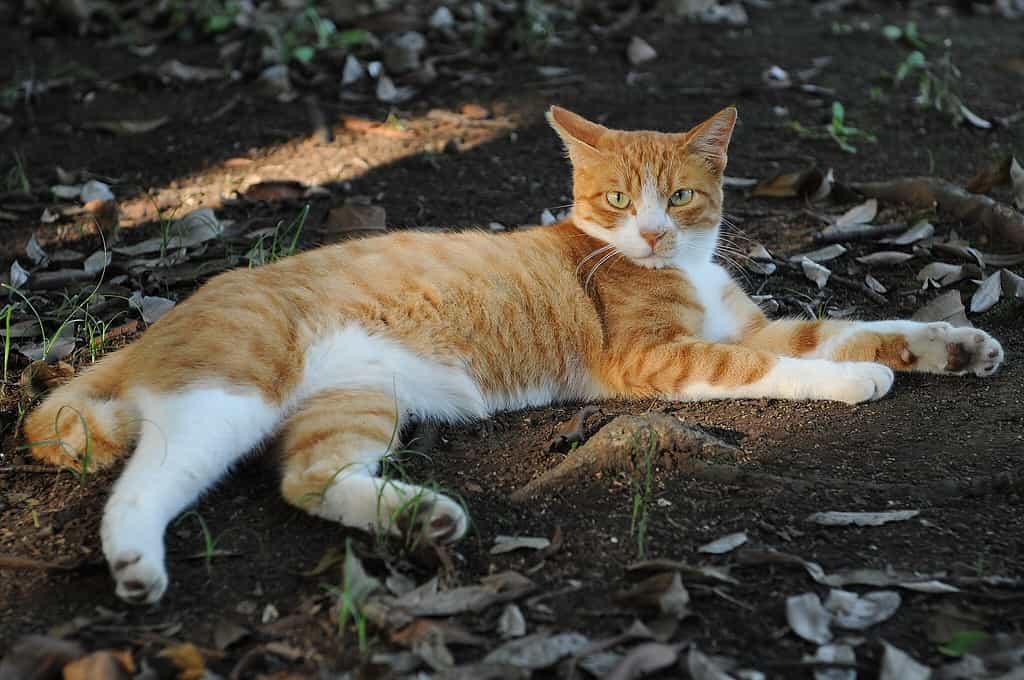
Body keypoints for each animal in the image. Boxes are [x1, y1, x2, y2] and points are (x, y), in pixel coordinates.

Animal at [22, 103, 999, 602]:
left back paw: (422, 519)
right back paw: (135, 562)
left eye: (680, 197)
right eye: (616, 200)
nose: (651, 232)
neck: (673, 266)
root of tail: (167, 318)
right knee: (151, 473)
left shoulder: (753, 326)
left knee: (307, 478)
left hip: (352, 398)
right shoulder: (658, 361)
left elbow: (849, 323)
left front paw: (956, 342)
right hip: (234, 388)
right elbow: (783, 363)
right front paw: (857, 376)